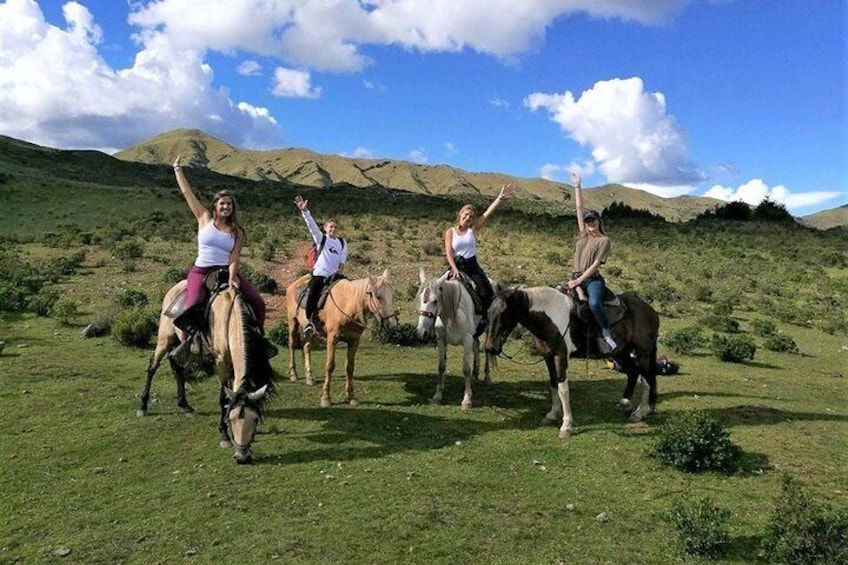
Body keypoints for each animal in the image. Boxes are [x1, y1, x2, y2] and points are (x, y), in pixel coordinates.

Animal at [138, 274, 272, 462]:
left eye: (254, 420)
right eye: (232, 421)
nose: (242, 458)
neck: (230, 320)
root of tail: (174, 288)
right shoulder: (221, 362)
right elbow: (224, 397)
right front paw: (224, 435)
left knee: (176, 365)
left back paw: (184, 405)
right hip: (165, 337)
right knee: (153, 366)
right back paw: (143, 406)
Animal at [286, 268, 396, 406]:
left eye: (392, 296)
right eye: (378, 296)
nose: (392, 324)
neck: (347, 304)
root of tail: (293, 285)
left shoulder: (354, 340)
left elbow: (350, 367)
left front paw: (351, 396)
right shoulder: (332, 338)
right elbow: (329, 366)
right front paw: (326, 397)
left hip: (313, 333)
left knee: (306, 347)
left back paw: (309, 377)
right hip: (292, 322)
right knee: (292, 344)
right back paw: (293, 374)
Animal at [416, 268, 494, 410]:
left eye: (435, 301)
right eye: (420, 298)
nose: (421, 332)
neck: (452, 315)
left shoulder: (467, 340)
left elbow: (466, 369)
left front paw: (467, 400)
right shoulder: (441, 340)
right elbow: (441, 366)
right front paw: (437, 396)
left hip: (487, 329)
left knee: (486, 349)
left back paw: (487, 377)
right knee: (476, 346)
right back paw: (475, 376)